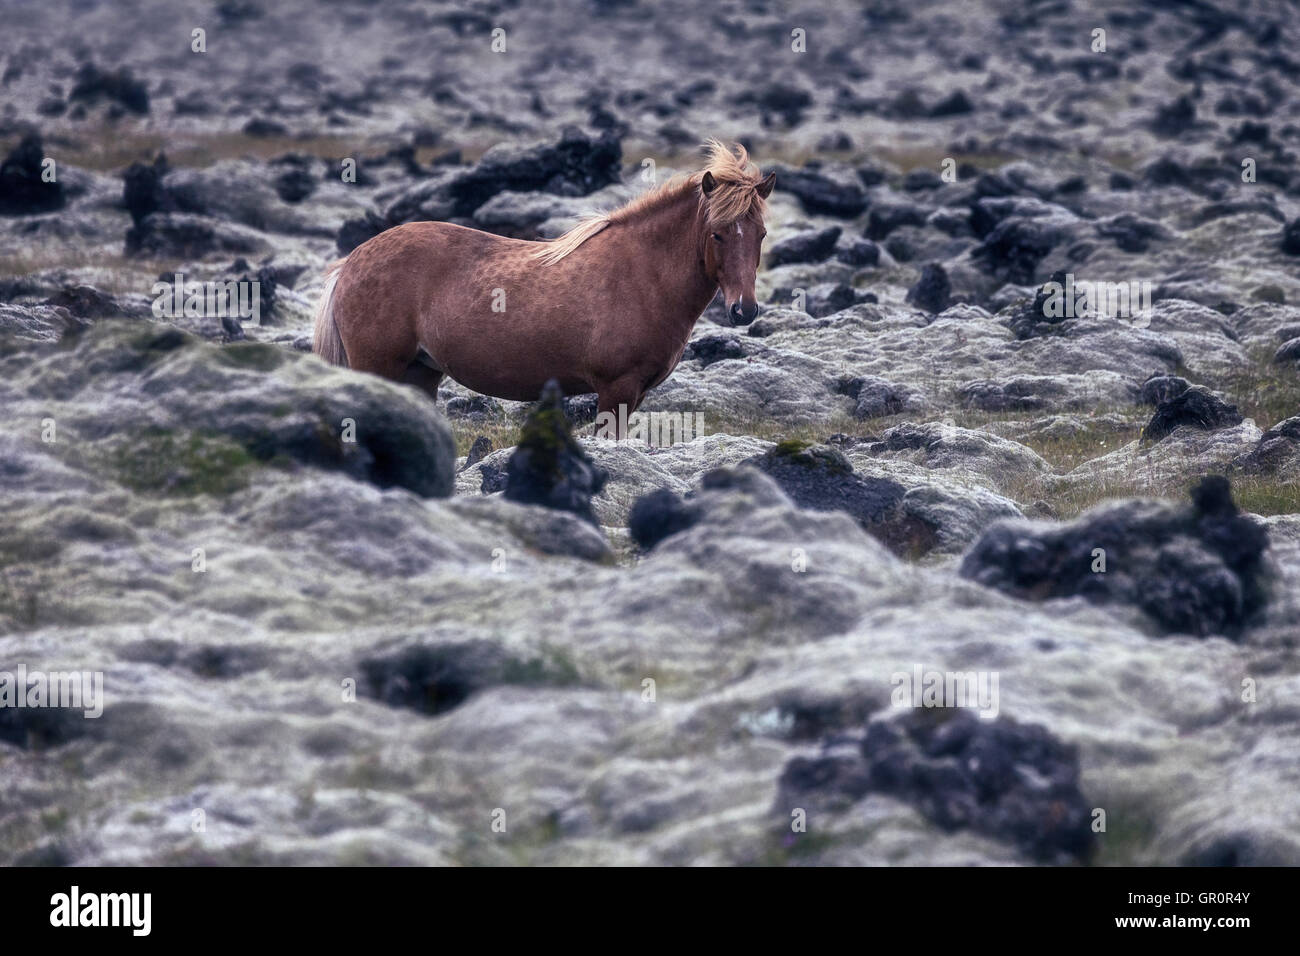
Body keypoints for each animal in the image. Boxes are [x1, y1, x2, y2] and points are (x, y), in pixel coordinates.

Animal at [312, 139, 769, 437]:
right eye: (717, 234)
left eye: (761, 234)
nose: (743, 310)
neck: (643, 273)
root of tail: (351, 261)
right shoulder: (616, 390)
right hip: (379, 367)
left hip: (419, 372)